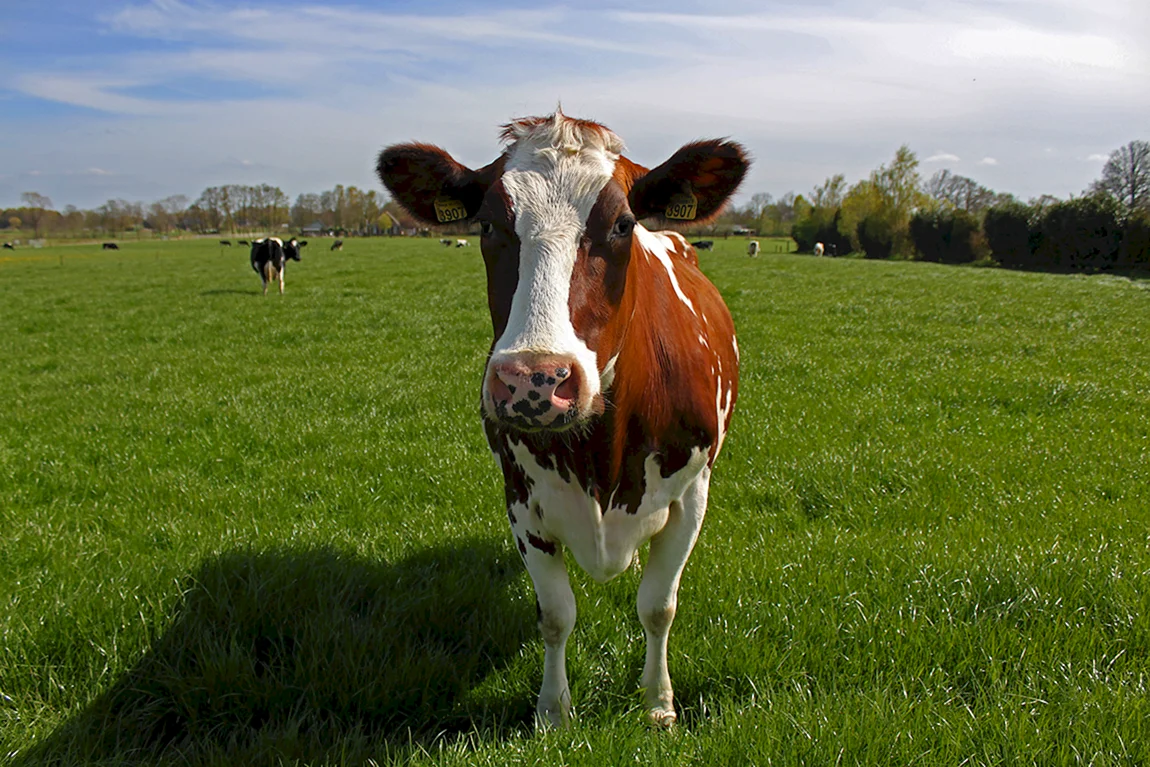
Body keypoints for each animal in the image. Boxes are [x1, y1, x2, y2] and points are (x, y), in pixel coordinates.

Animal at [378, 111, 746, 729]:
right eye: (487, 226)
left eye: (622, 224)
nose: (535, 379)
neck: (600, 457)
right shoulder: (521, 501)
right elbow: (555, 614)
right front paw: (553, 710)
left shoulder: (692, 495)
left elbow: (658, 607)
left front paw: (657, 703)